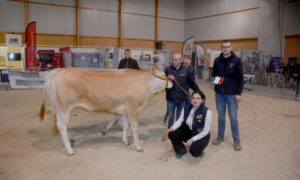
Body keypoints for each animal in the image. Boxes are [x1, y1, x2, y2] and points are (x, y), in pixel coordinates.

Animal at [38, 67, 172, 155]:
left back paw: (70, 142)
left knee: (61, 126)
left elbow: (125, 125)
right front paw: (138, 146)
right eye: (163, 75)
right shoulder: (133, 108)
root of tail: (58, 71)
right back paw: (70, 150)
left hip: (59, 109)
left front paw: (125, 141)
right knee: (61, 126)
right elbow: (135, 127)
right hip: (64, 108)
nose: (171, 82)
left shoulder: (125, 109)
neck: (145, 84)